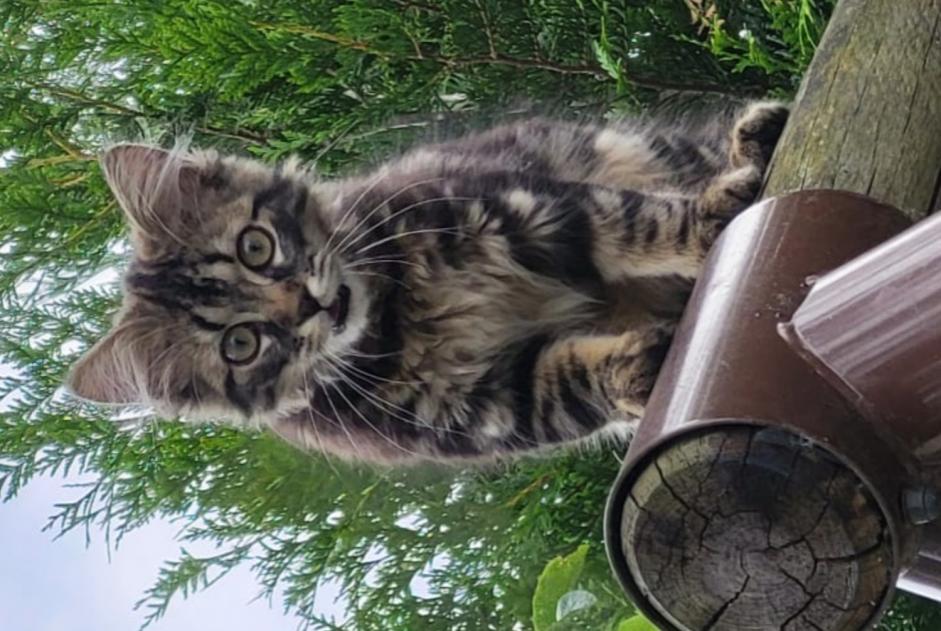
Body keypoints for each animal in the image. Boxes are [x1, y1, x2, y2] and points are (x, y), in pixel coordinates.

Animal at [68, 100, 784, 464]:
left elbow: (639, 226)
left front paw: (707, 220)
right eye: (240, 345)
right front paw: (637, 369)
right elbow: (571, 380)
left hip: (627, 150)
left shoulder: (529, 210)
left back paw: (751, 142)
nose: (310, 304)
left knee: (691, 156)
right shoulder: (487, 408)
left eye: (255, 245)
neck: (398, 315)